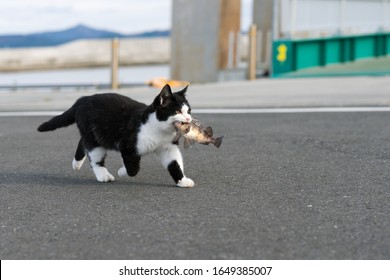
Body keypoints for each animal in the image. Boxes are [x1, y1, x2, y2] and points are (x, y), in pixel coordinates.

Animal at [38, 84, 193, 187]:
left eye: (188, 111)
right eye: (178, 111)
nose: (189, 118)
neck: (157, 129)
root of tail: (83, 99)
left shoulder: (168, 147)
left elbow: (175, 163)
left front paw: (182, 181)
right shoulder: (127, 146)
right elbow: (133, 169)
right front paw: (122, 171)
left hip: (95, 133)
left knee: (83, 141)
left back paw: (76, 164)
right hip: (95, 140)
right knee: (94, 157)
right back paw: (103, 175)